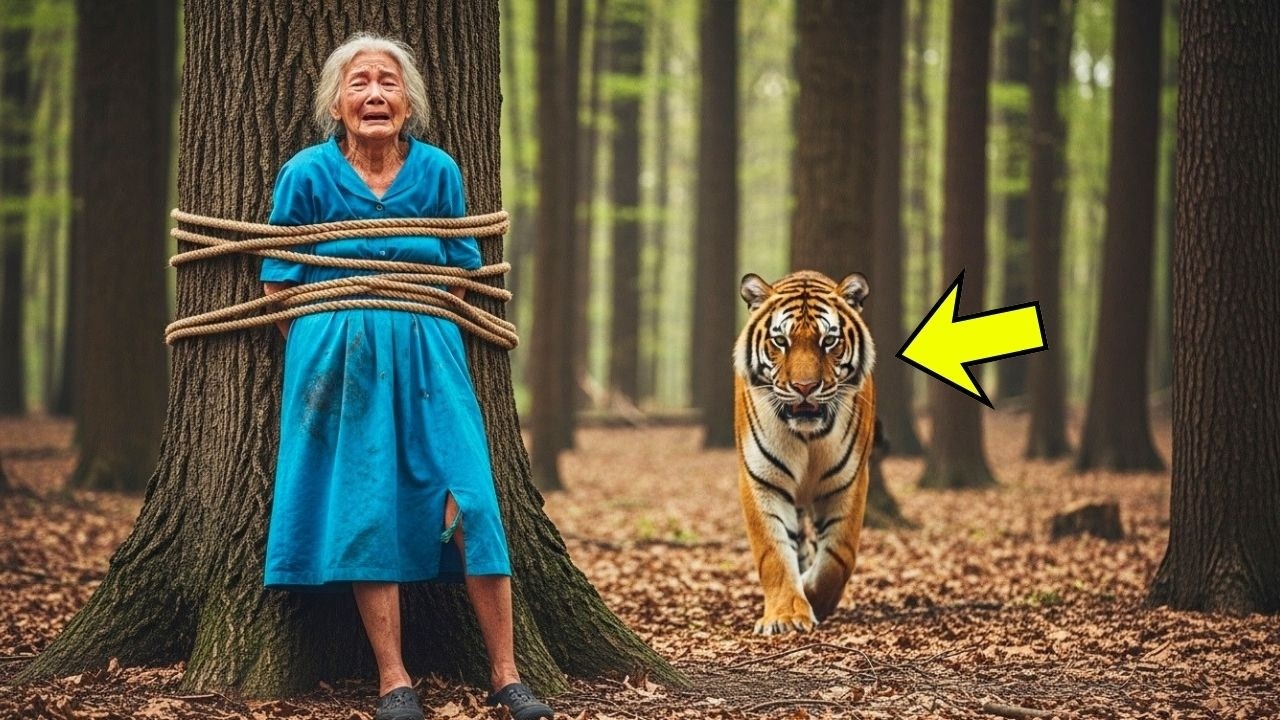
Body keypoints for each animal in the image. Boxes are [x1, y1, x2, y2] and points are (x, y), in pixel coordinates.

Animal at [733, 270, 877, 635]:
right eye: (781, 341)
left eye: (829, 341)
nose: (805, 387)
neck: (808, 436)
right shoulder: (762, 479)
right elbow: (773, 552)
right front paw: (785, 616)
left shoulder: (849, 480)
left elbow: (839, 555)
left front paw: (813, 596)